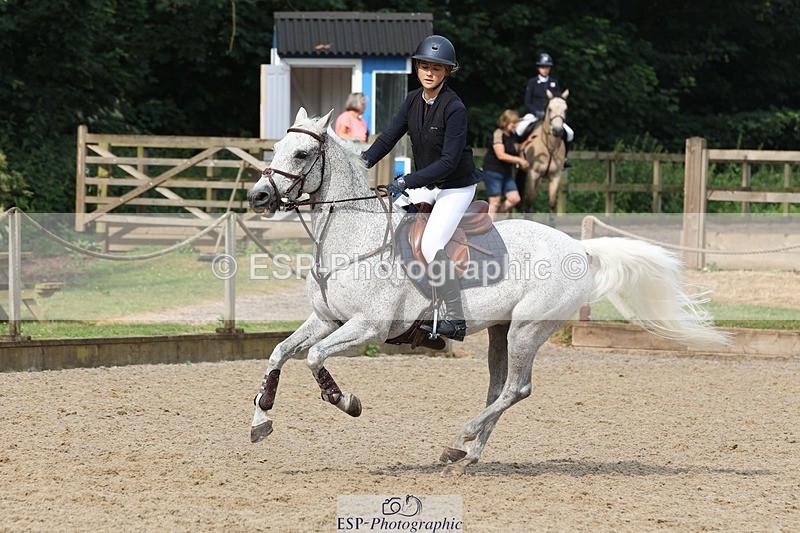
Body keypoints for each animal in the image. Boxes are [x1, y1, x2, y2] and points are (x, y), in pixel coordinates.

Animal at [245, 107, 729, 475]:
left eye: (303, 153)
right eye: (276, 148)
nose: (258, 197)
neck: (354, 239)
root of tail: (579, 248)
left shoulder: (370, 327)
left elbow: (313, 357)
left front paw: (344, 401)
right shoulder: (327, 319)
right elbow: (279, 352)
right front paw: (260, 419)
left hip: (527, 330)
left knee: (517, 388)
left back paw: (462, 438)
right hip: (501, 330)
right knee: (499, 390)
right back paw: (466, 453)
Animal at [521, 89, 569, 225]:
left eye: (565, 109)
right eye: (550, 109)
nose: (557, 131)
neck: (550, 146)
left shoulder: (555, 176)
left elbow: (552, 203)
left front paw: (552, 225)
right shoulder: (532, 173)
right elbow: (529, 201)